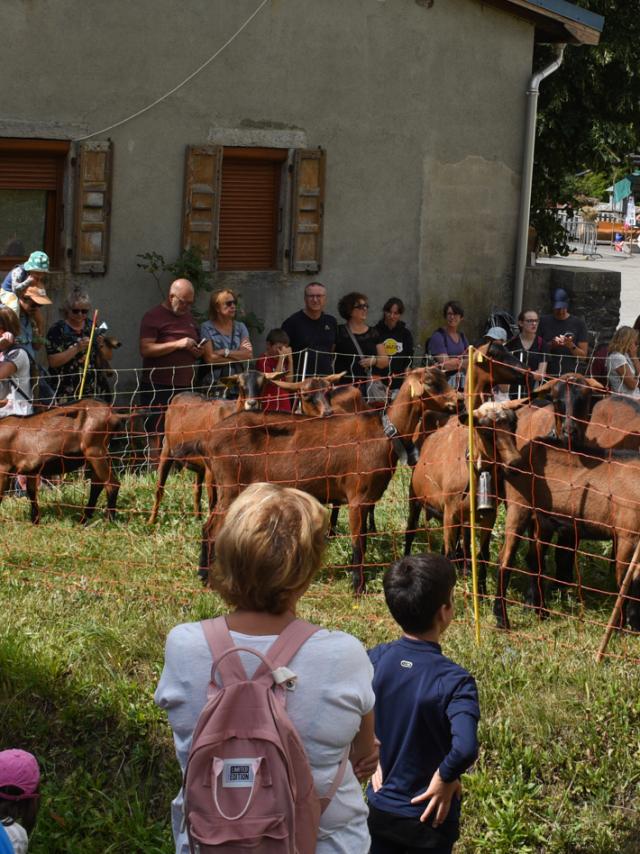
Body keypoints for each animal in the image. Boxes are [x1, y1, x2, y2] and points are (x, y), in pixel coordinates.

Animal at [195, 368, 460, 596]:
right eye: (430, 382)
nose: (458, 402)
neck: (384, 433)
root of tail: (209, 438)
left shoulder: (366, 500)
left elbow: (363, 539)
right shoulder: (357, 497)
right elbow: (358, 543)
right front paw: (358, 587)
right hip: (230, 485)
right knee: (210, 528)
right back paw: (205, 577)